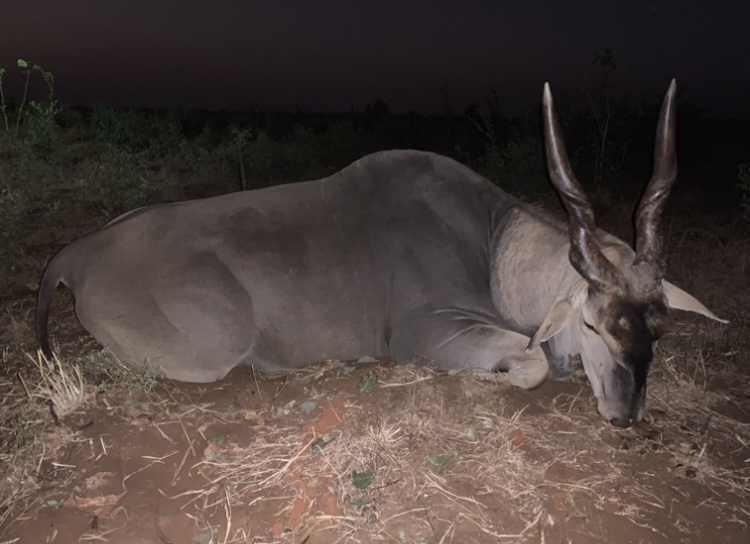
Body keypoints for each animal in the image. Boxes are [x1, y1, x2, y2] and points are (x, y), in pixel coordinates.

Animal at [36, 79, 726, 427]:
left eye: (658, 328)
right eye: (592, 324)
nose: (625, 415)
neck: (493, 246)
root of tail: (73, 257)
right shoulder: (427, 333)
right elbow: (529, 365)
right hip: (212, 350)